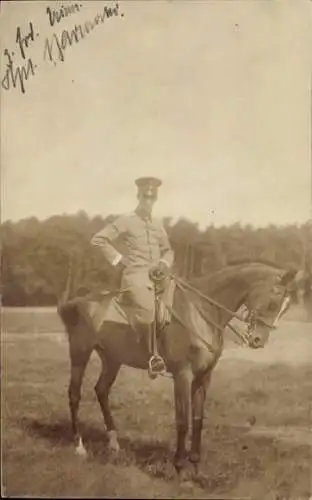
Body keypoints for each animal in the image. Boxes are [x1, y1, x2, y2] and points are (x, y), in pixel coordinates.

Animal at [57, 262, 298, 476]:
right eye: (273, 302)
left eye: (284, 308)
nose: (258, 341)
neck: (200, 312)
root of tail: (78, 302)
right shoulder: (183, 375)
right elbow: (182, 421)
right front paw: (180, 466)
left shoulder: (204, 377)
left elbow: (198, 420)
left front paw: (196, 466)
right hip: (80, 354)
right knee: (74, 394)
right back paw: (79, 446)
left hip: (112, 360)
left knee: (101, 391)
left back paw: (114, 443)